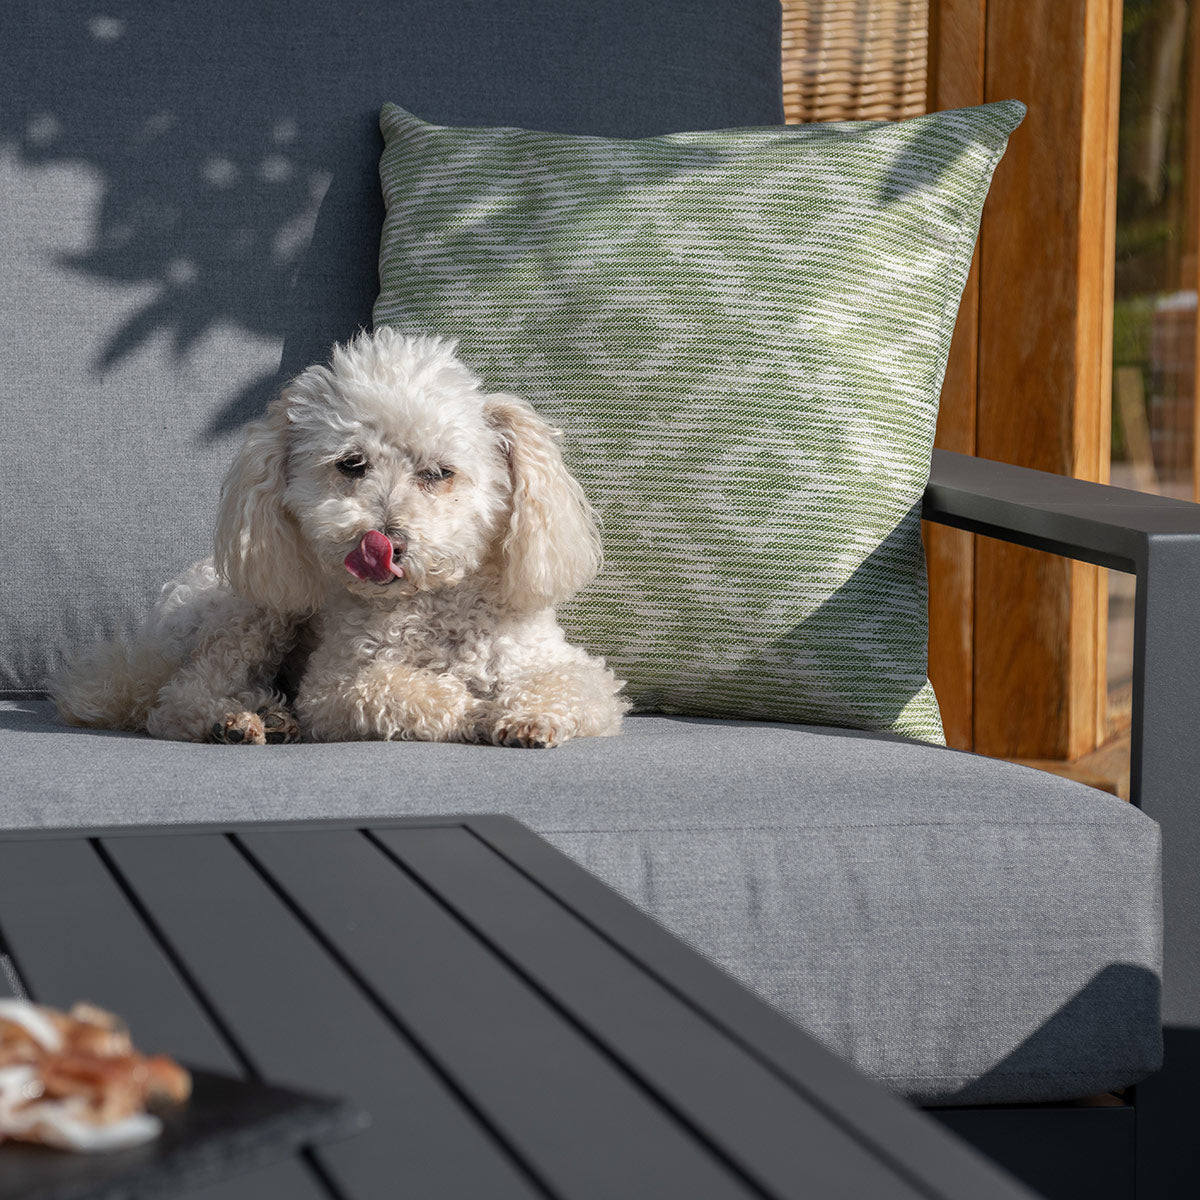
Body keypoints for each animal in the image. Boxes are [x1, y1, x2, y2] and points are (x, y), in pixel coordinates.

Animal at [49, 324, 628, 744]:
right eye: (352, 464)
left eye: (440, 473)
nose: (385, 542)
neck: (433, 606)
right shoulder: (337, 686)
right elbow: (412, 691)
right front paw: (478, 714)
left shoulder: (568, 671)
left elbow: (567, 688)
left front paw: (527, 717)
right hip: (254, 612)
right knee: (181, 698)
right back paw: (237, 720)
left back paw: (268, 716)